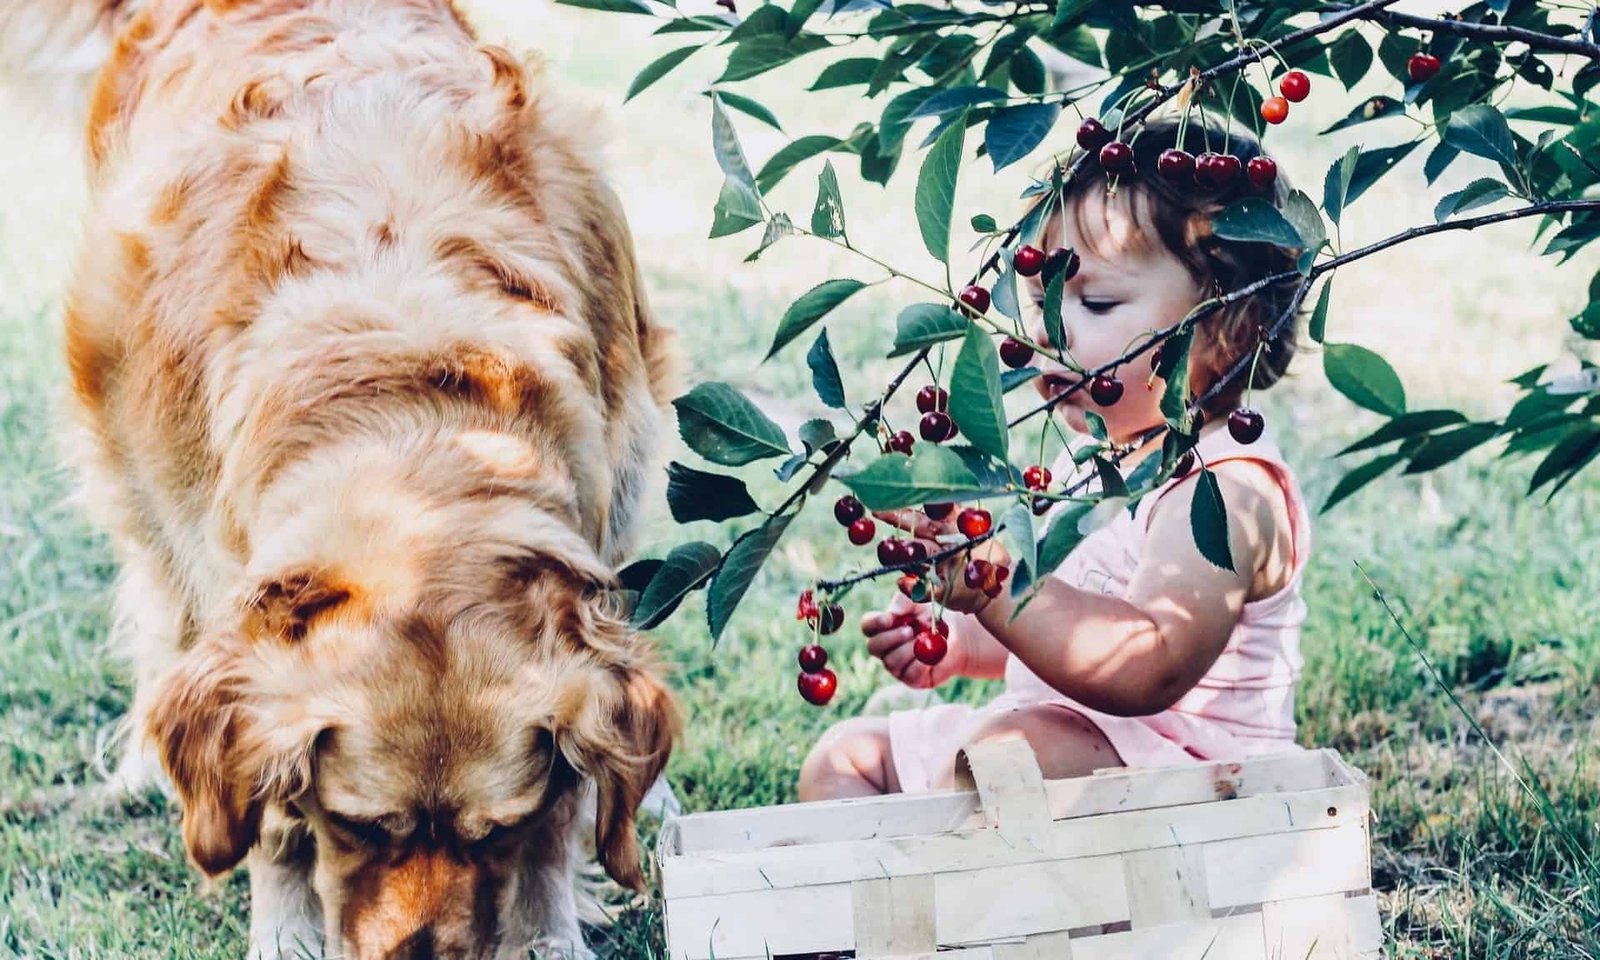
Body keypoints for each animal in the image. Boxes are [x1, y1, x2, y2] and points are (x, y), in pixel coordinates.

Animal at [0, 0, 678, 953]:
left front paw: (548, 924)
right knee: (156, 610)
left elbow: (570, 792)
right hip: (133, 471)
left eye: (494, 830)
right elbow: (265, 811)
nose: (423, 956)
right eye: (356, 822)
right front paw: (284, 928)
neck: (416, 431)